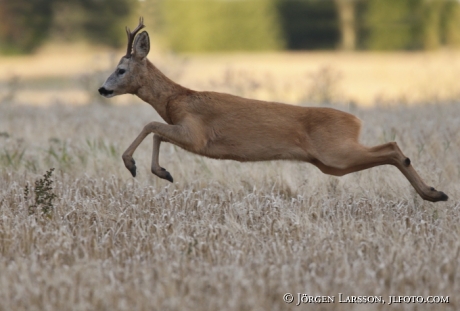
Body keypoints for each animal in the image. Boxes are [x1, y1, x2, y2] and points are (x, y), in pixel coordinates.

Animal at [99, 17, 448, 202]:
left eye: (120, 69)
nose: (102, 89)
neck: (176, 100)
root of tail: (355, 120)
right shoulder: (186, 132)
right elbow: (157, 131)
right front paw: (162, 172)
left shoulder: (196, 134)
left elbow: (150, 126)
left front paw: (132, 165)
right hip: (331, 163)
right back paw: (434, 193)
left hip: (336, 152)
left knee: (392, 147)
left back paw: (434, 193)